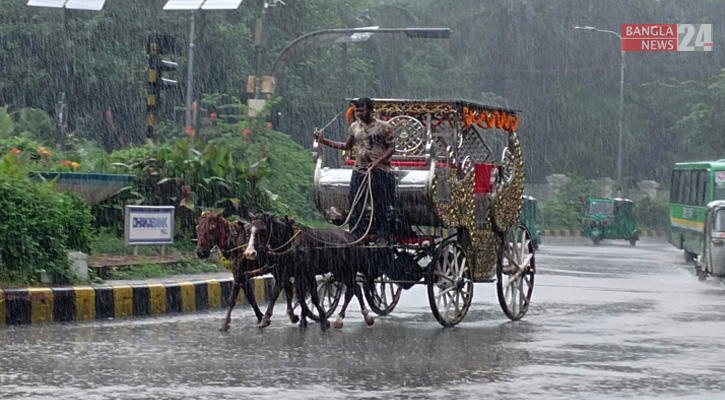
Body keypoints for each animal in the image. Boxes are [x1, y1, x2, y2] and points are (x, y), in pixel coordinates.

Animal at [243, 211, 374, 330]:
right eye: (249, 231)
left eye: (263, 230)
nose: (250, 253)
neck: (290, 241)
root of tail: (353, 238)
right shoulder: (285, 273)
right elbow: (281, 294)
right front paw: (267, 319)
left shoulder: (308, 273)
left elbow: (314, 297)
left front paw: (323, 320)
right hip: (340, 271)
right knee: (356, 289)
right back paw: (360, 317)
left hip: (348, 270)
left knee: (352, 291)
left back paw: (344, 318)